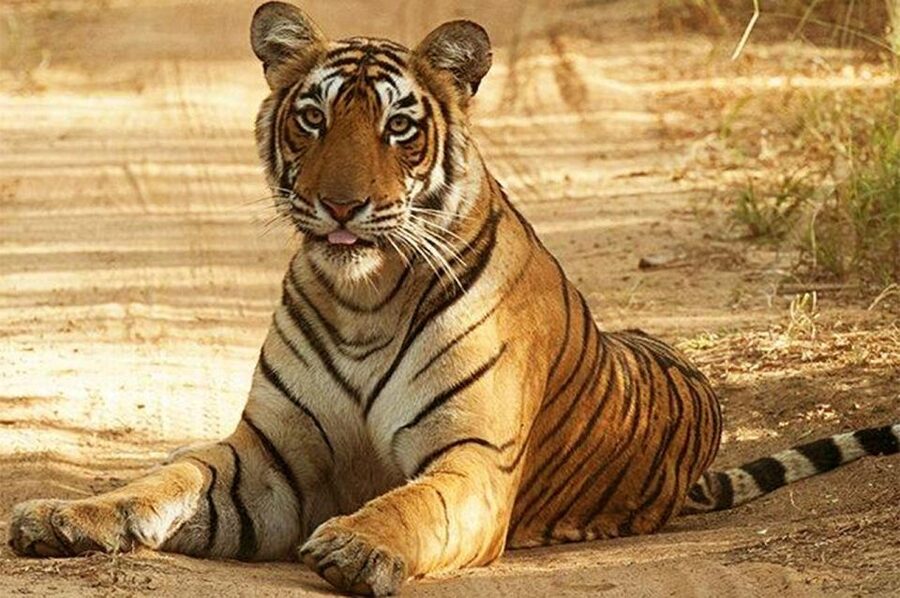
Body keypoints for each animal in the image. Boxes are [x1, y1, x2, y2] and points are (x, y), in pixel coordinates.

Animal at [8, 2, 900, 596]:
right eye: (312, 117)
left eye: (399, 127)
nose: (341, 206)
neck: (362, 300)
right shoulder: (268, 460)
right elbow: (162, 480)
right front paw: (62, 514)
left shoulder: (472, 460)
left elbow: (415, 504)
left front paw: (355, 545)